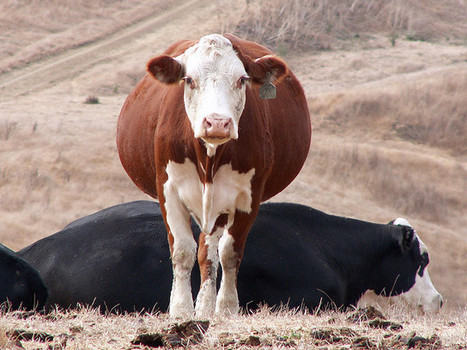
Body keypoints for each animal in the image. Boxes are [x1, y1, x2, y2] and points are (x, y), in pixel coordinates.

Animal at [116, 33, 312, 318]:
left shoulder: (248, 196)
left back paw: (207, 307)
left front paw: (226, 307)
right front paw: (181, 309)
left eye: (242, 79)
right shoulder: (168, 189)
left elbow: (229, 252)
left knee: (209, 250)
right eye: (188, 79)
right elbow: (182, 251)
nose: (217, 122)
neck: (208, 156)